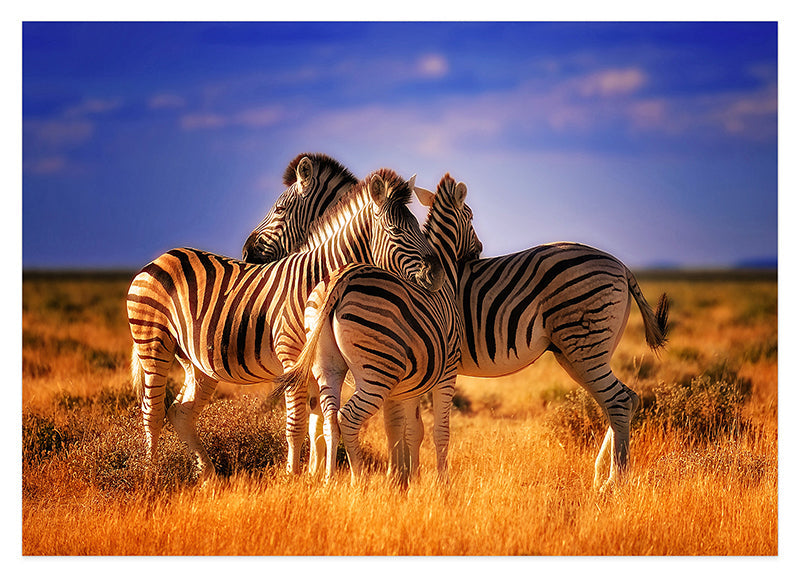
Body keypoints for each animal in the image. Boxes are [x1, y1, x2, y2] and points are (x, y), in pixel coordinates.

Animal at [127, 164, 443, 480]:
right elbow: (297, 425)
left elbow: (318, 424)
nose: (437, 274)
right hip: (154, 344)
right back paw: (150, 474)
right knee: (152, 412)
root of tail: (161, 257)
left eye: (417, 226)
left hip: (197, 362)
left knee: (180, 412)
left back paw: (208, 476)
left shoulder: (315, 365)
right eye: (397, 230)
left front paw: (314, 477)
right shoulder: (292, 358)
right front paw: (294, 476)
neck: (321, 275)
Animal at [276, 173, 481, 485]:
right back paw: (357, 483)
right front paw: (441, 484)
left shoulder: (409, 384)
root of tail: (342, 279)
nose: (479, 250)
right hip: (377, 373)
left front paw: (407, 481)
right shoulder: (447, 370)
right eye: (470, 216)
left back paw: (329, 481)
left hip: (328, 365)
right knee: (348, 418)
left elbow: (408, 430)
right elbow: (439, 431)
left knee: (330, 419)